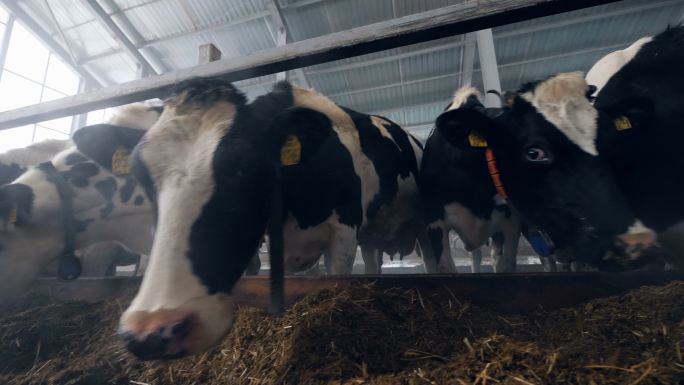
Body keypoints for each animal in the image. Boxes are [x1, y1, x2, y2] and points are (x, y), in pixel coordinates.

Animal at [118, 76, 444, 358]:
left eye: (243, 166)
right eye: (141, 176)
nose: (153, 330)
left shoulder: (343, 233)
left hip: (429, 224)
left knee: (435, 260)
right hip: (372, 238)